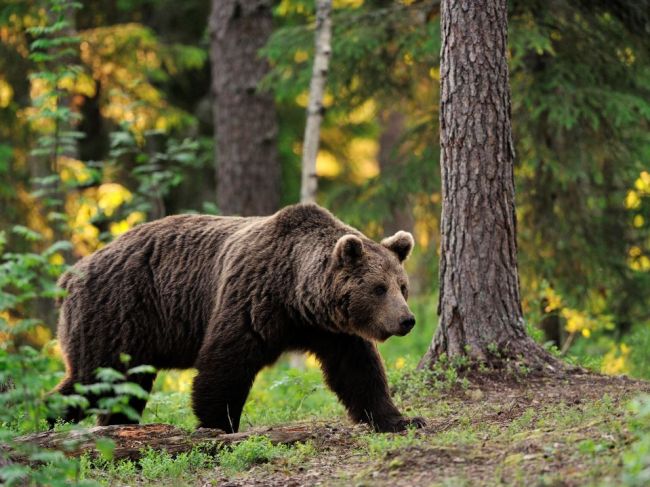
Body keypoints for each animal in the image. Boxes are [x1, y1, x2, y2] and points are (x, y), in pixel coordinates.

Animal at [53, 204, 422, 432]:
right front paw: (218, 425)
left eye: (402, 286)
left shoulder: (332, 330)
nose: (407, 320)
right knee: (94, 379)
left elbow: (358, 372)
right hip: (119, 312)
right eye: (378, 288)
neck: (296, 296)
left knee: (122, 387)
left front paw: (399, 420)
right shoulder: (252, 298)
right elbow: (225, 363)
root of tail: (72, 273)